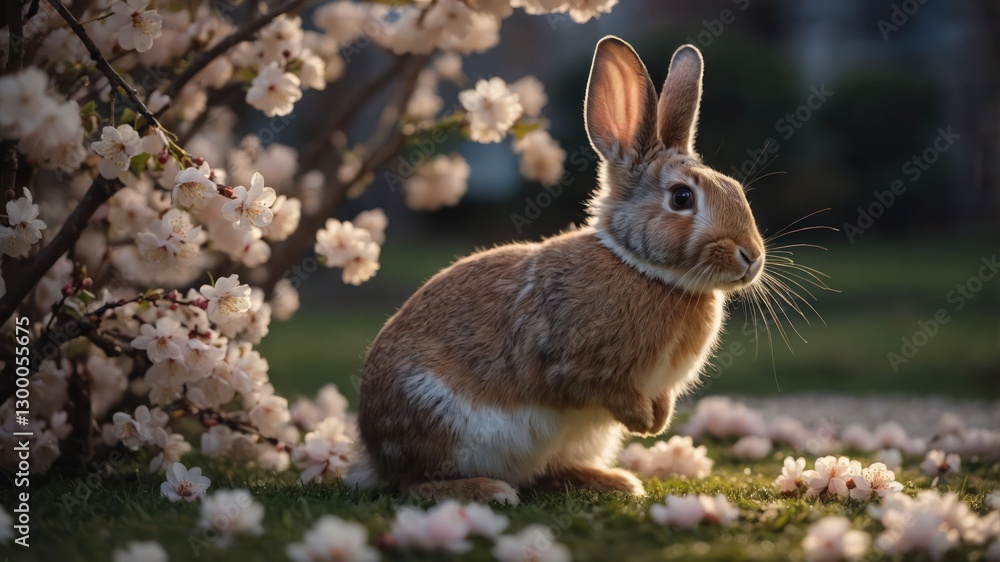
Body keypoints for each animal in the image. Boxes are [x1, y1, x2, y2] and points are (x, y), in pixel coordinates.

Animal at [346, 36, 765, 505]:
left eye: (735, 189)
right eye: (681, 197)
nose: (751, 257)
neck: (646, 270)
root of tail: (374, 453)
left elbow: (662, 399)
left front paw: (658, 421)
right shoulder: (573, 362)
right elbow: (598, 387)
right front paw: (644, 422)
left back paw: (611, 481)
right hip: (437, 418)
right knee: (413, 484)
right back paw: (489, 490)